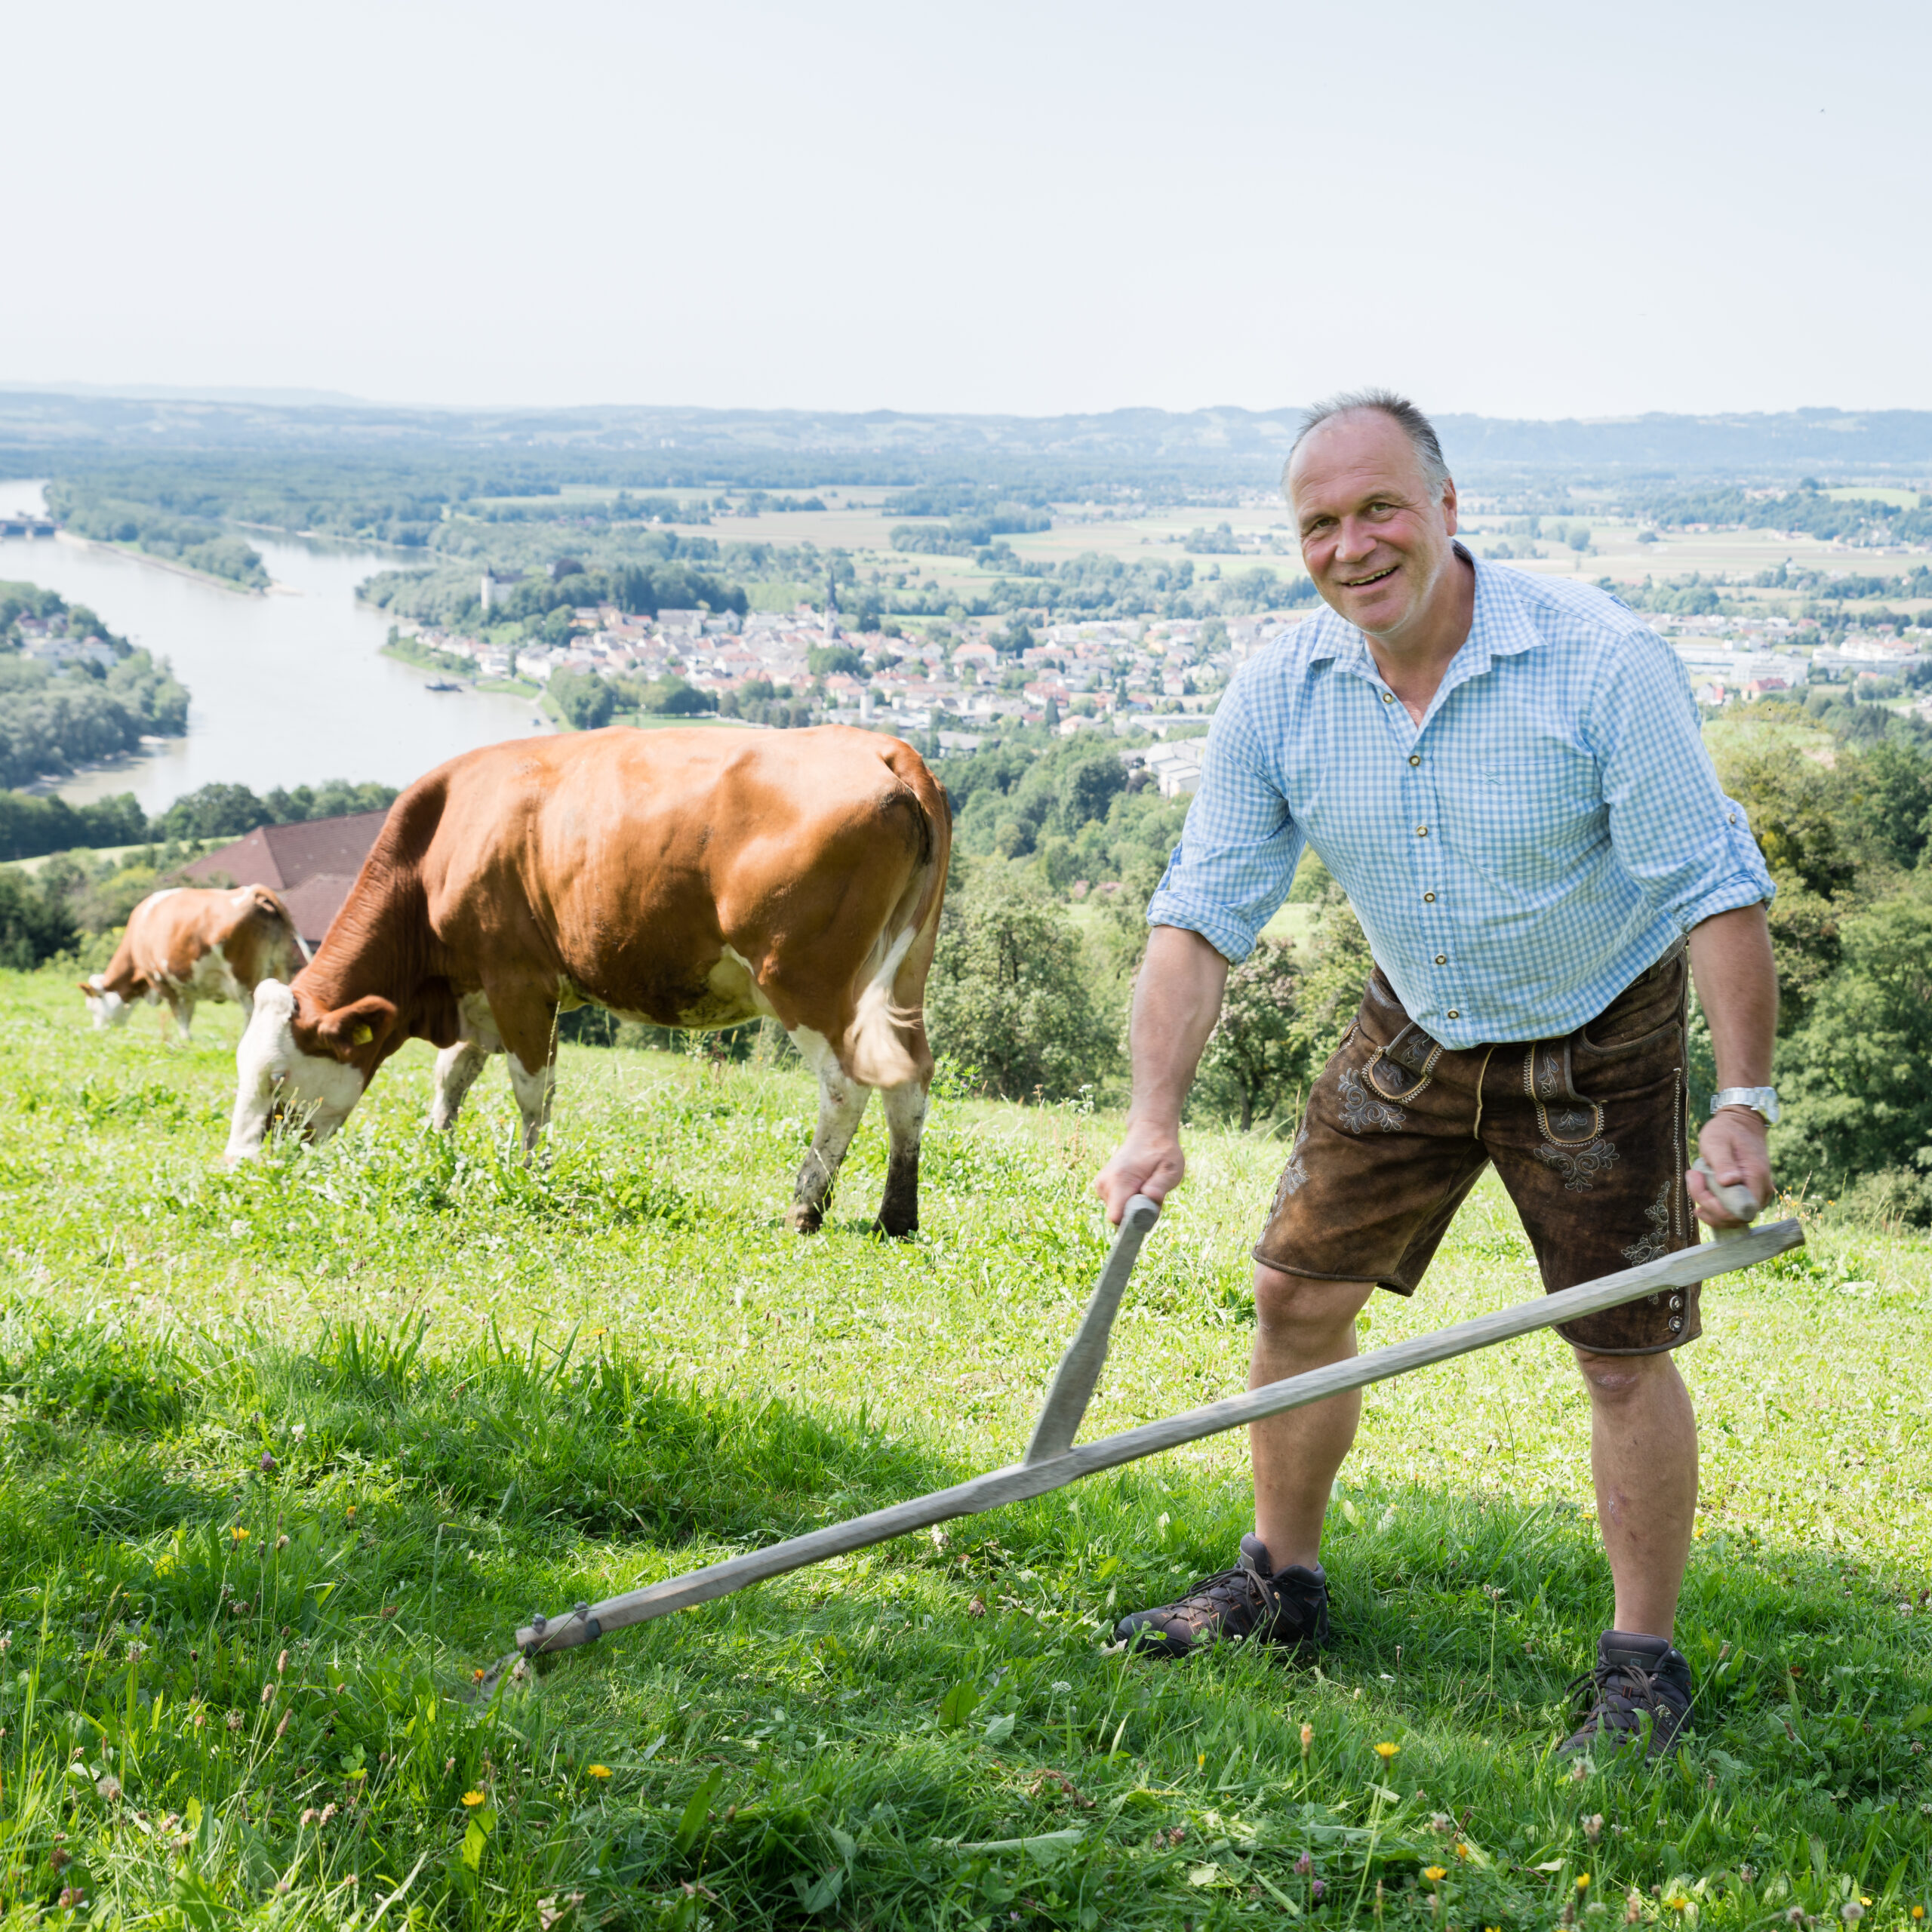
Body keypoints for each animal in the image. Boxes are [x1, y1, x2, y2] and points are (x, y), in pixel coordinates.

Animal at [80, 885, 310, 1040]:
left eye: (92, 1007)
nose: (97, 1031)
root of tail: (255, 892)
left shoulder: (160, 980)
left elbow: (178, 1013)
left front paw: (184, 1039)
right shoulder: (187, 986)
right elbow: (188, 1012)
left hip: (243, 977)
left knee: (250, 1009)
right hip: (280, 966)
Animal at [225, 726, 951, 1235]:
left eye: (279, 1084)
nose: (238, 1170)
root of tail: (886, 751)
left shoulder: (519, 980)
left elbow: (532, 1090)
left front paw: (533, 1175)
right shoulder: (476, 989)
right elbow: (452, 1075)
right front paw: (439, 1148)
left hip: (805, 979)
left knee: (846, 1085)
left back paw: (805, 1208)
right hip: (906, 973)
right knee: (910, 1076)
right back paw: (896, 1216)